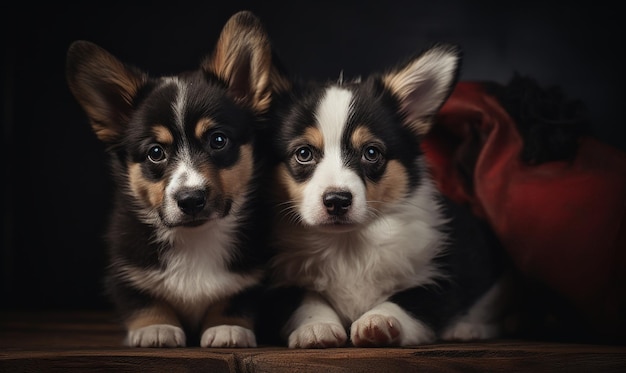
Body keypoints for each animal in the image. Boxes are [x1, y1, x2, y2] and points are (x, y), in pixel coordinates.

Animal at [64, 12, 276, 348]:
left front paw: (228, 328)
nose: (191, 200)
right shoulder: (124, 270)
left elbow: (236, 298)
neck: (194, 238)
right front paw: (156, 328)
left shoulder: (255, 273)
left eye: (218, 140)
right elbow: (143, 300)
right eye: (155, 152)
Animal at [266, 45, 510, 348]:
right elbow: (304, 298)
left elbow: (409, 300)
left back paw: (467, 329)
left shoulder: (439, 275)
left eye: (371, 153)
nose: (337, 201)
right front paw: (316, 326)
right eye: (303, 153)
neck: (346, 244)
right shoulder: (279, 285)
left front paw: (378, 320)